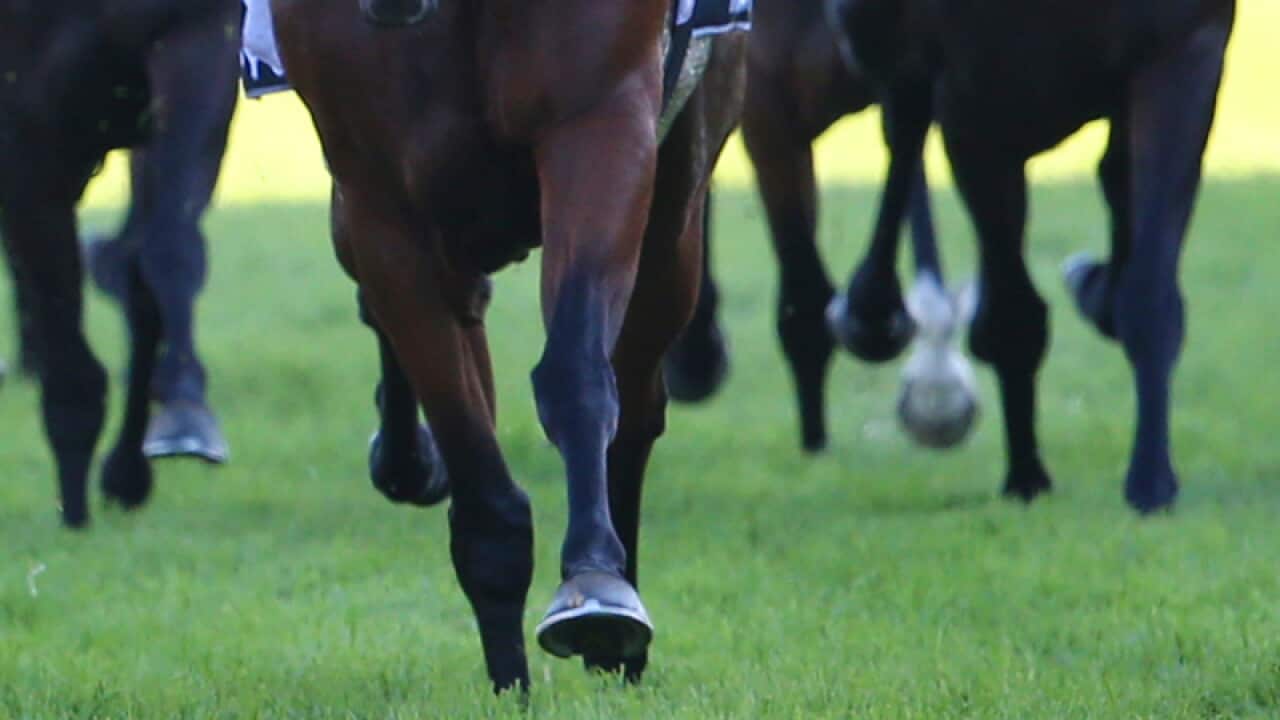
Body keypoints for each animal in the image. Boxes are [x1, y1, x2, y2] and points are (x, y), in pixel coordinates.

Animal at [0, 0, 241, 527]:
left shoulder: (195, 40)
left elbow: (164, 253)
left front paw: (175, 421)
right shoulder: (23, 130)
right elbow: (59, 314)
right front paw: (74, 507)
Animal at [273, 0, 747, 691]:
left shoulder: (600, 118)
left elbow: (575, 372)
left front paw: (596, 588)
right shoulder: (377, 199)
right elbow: (471, 458)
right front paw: (510, 682)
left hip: (674, 212)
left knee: (635, 403)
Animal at [832, 0, 1236, 511]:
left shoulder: (1182, 48)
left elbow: (1147, 290)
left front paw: (1151, 480)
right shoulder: (973, 100)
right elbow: (1012, 315)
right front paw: (1025, 476)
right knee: (903, 117)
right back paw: (874, 316)